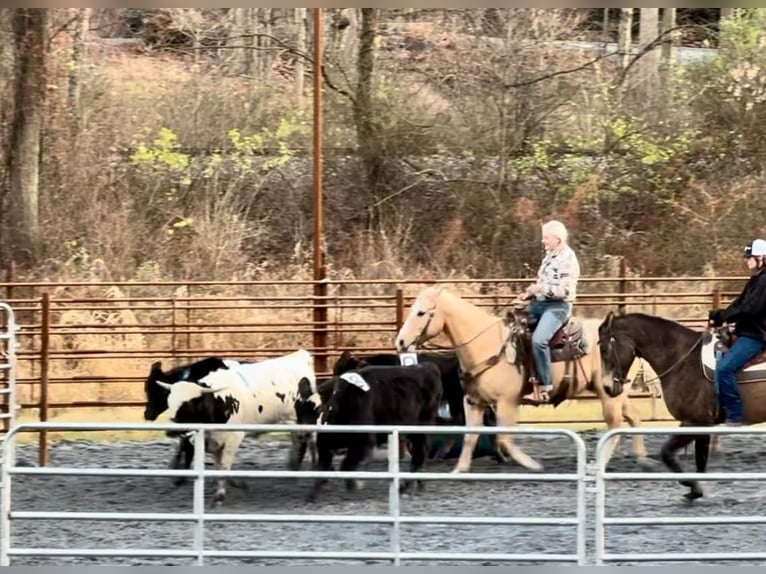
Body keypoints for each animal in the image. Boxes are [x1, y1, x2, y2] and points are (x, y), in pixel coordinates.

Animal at [156, 348, 318, 506]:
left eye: (188, 405)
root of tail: (300, 355)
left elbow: (224, 466)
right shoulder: (213, 442)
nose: (171, 431)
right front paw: (238, 484)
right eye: (170, 403)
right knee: (298, 442)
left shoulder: (233, 438)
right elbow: (219, 466)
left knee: (308, 442)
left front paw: (220, 496)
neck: (219, 401)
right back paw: (293, 469)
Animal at [306, 364, 444, 504]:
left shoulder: (362, 441)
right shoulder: (327, 446)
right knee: (420, 455)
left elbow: (346, 465)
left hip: (421, 429)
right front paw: (312, 495)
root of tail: (427, 366)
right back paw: (418, 484)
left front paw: (354, 487)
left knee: (420, 454)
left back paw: (404, 488)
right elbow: (325, 469)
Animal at [396, 286, 656, 474]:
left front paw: (532, 464)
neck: (487, 345)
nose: (400, 342)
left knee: (615, 425)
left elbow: (504, 439)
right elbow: (470, 436)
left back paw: (600, 464)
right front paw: (459, 470)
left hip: (607, 393)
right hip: (616, 391)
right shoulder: (473, 402)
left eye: (421, 313)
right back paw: (642, 458)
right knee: (634, 415)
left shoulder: (507, 403)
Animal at [600, 312, 766, 502]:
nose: (607, 388)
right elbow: (700, 459)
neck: (682, 360)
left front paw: (688, 483)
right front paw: (695, 490)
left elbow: (667, 452)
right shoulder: (697, 423)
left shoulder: (697, 423)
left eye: (604, 349)